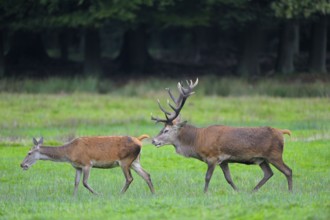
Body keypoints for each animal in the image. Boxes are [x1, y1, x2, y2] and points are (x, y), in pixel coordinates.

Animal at [150, 78, 292, 191]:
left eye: (166, 130)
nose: (153, 140)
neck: (197, 141)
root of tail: (282, 132)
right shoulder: (224, 160)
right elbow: (228, 178)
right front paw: (237, 191)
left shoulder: (212, 157)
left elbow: (207, 177)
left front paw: (205, 193)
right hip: (262, 159)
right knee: (269, 173)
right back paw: (253, 191)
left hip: (275, 154)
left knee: (288, 171)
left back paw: (290, 191)